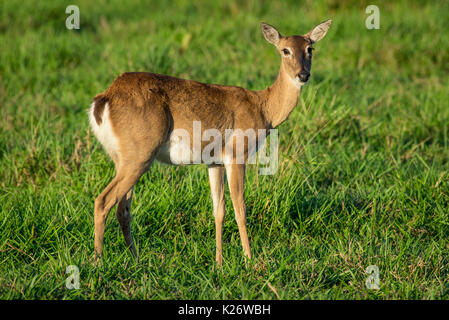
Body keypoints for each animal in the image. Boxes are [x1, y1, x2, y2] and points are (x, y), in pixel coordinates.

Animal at [89, 20, 330, 264]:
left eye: (310, 48)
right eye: (285, 50)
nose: (303, 75)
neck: (263, 109)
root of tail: (103, 100)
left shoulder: (214, 162)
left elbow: (219, 210)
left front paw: (219, 262)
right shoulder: (237, 154)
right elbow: (240, 209)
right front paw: (249, 260)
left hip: (124, 158)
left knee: (122, 208)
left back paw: (136, 259)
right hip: (140, 155)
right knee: (103, 201)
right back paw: (99, 261)